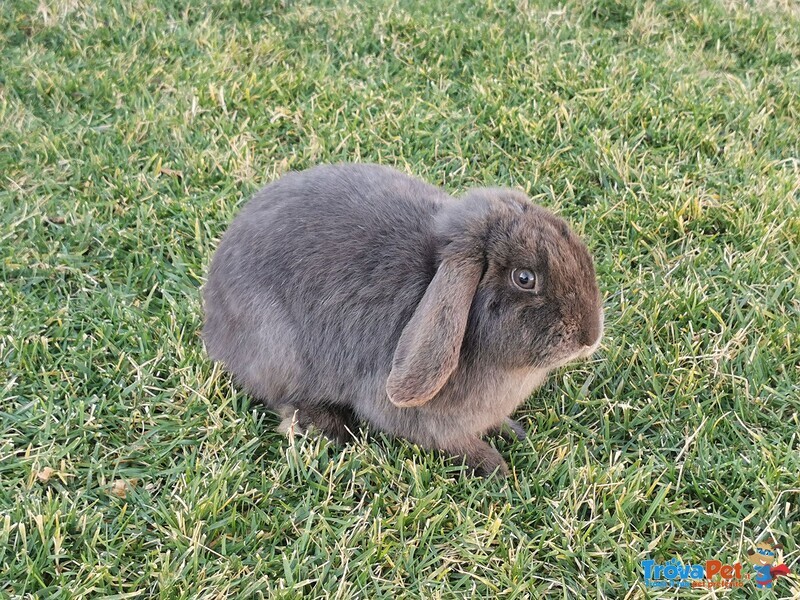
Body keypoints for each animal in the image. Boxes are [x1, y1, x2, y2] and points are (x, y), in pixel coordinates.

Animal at [203, 164, 604, 478]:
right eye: (524, 278)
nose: (590, 336)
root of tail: (214, 322)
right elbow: (452, 442)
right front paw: (495, 466)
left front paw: (512, 431)